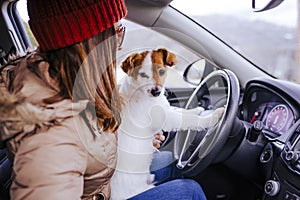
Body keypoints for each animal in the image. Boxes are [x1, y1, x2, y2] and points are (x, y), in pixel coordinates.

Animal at [109, 48, 223, 200]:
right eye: (143, 74)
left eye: (162, 71)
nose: (156, 91)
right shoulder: (167, 118)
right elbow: (188, 119)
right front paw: (214, 116)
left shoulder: (167, 110)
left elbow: (183, 111)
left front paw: (197, 110)